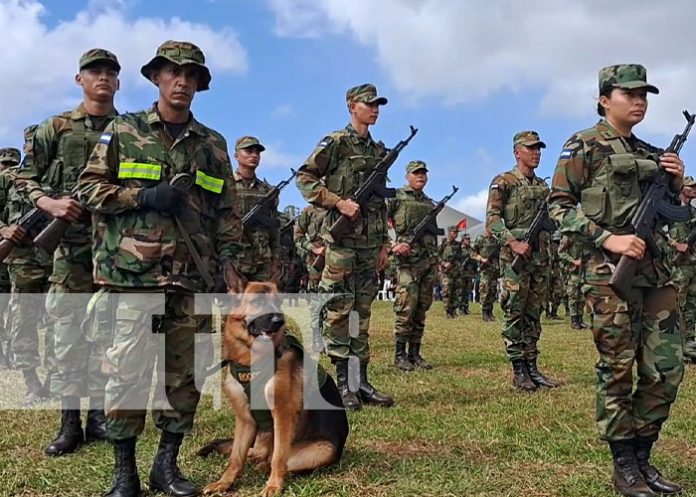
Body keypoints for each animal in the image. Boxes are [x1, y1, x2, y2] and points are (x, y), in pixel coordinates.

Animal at [201, 280, 350, 496]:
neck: (250, 359)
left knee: (275, 459)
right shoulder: (245, 419)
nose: (280, 321)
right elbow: (236, 457)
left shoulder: (282, 414)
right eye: (258, 301)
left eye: (278, 302)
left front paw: (273, 485)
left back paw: (263, 466)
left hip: (322, 450)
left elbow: (279, 457)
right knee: (257, 453)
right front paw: (224, 483)